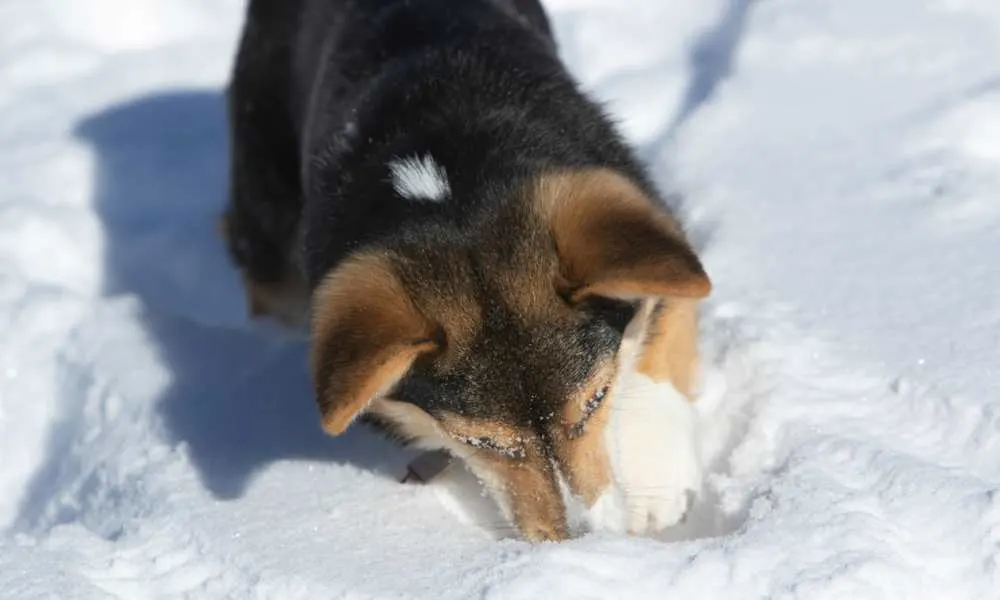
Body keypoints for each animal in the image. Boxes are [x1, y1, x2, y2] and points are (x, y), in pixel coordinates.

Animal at [224, 0, 716, 544]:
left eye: (595, 403)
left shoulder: (646, 225)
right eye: (485, 443)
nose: (581, 537)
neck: (443, 187)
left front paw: (654, 482)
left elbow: (657, 336)